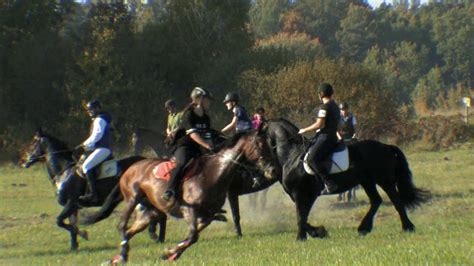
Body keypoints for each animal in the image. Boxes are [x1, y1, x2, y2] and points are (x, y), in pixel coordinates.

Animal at [19, 130, 165, 250]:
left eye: (32, 143)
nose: (24, 160)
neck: (64, 171)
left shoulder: (72, 203)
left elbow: (60, 221)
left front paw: (83, 235)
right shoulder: (73, 207)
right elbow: (71, 225)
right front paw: (74, 246)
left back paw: (156, 235)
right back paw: (157, 236)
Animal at [108, 130, 270, 262]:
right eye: (260, 145)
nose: (271, 169)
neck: (213, 174)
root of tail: (132, 166)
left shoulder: (207, 216)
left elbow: (191, 237)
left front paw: (170, 253)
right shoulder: (189, 209)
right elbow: (192, 236)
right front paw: (170, 252)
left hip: (151, 212)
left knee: (129, 230)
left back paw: (118, 257)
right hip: (132, 198)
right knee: (122, 226)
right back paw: (122, 255)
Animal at [262, 119, 432, 240]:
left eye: (259, 138)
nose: (267, 168)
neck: (292, 155)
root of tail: (387, 146)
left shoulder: (303, 194)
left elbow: (301, 216)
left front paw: (302, 237)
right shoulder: (299, 196)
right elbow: (303, 216)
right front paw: (318, 232)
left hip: (384, 180)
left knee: (396, 201)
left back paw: (407, 227)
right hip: (367, 181)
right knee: (376, 200)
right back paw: (364, 228)